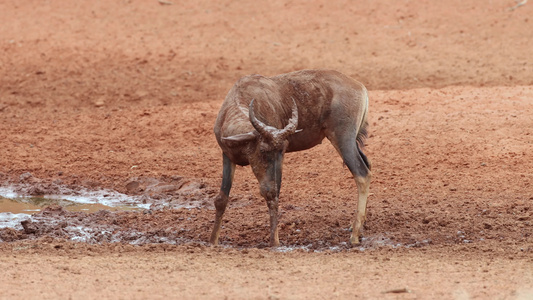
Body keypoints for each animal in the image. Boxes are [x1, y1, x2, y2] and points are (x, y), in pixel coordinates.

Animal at [209, 69, 370, 246]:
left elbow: (273, 194)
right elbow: (221, 199)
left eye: (280, 150)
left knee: (362, 174)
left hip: (342, 140)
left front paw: (274, 243)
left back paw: (354, 236)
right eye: (263, 150)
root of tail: (360, 87)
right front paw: (212, 241)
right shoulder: (227, 157)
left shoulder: (280, 159)